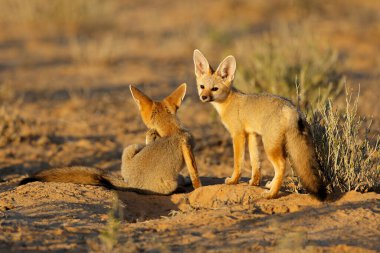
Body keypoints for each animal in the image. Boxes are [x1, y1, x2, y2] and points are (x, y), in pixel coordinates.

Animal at [20, 84, 202, 195]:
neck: (171, 130)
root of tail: (130, 183)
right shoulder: (188, 146)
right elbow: (195, 175)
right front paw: (198, 189)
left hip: (130, 147)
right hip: (169, 182)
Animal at [193, 49, 326, 200]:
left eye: (214, 89)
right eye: (202, 87)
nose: (203, 97)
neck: (228, 102)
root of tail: (291, 108)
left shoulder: (238, 135)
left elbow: (238, 162)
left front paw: (233, 180)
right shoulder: (251, 134)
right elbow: (255, 161)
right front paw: (254, 182)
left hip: (269, 145)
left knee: (281, 165)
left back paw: (272, 194)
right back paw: (270, 185)